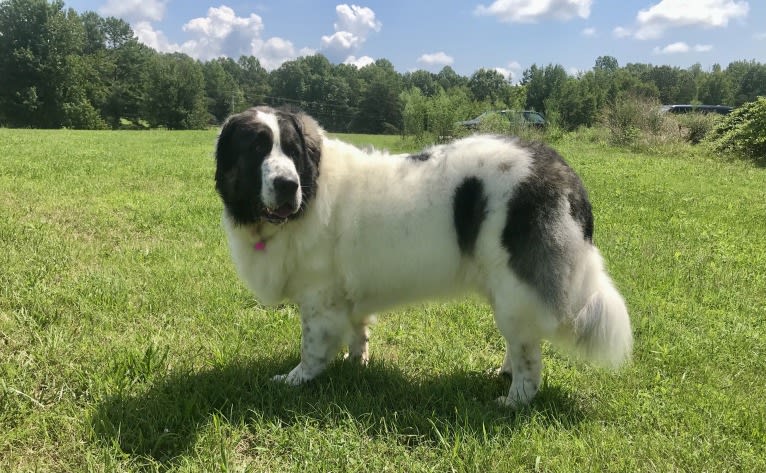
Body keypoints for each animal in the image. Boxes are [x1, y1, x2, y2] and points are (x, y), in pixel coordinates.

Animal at [216, 106, 636, 406]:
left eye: (291, 150)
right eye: (256, 148)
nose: (287, 185)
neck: (311, 189)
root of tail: (563, 171)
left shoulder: (320, 299)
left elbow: (312, 347)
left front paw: (296, 380)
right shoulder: (348, 294)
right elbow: (358, 331)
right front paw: (357, 365)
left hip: (516, 287)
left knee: (528, 354)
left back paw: (514, 399)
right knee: (522, 341)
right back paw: (503, 375)